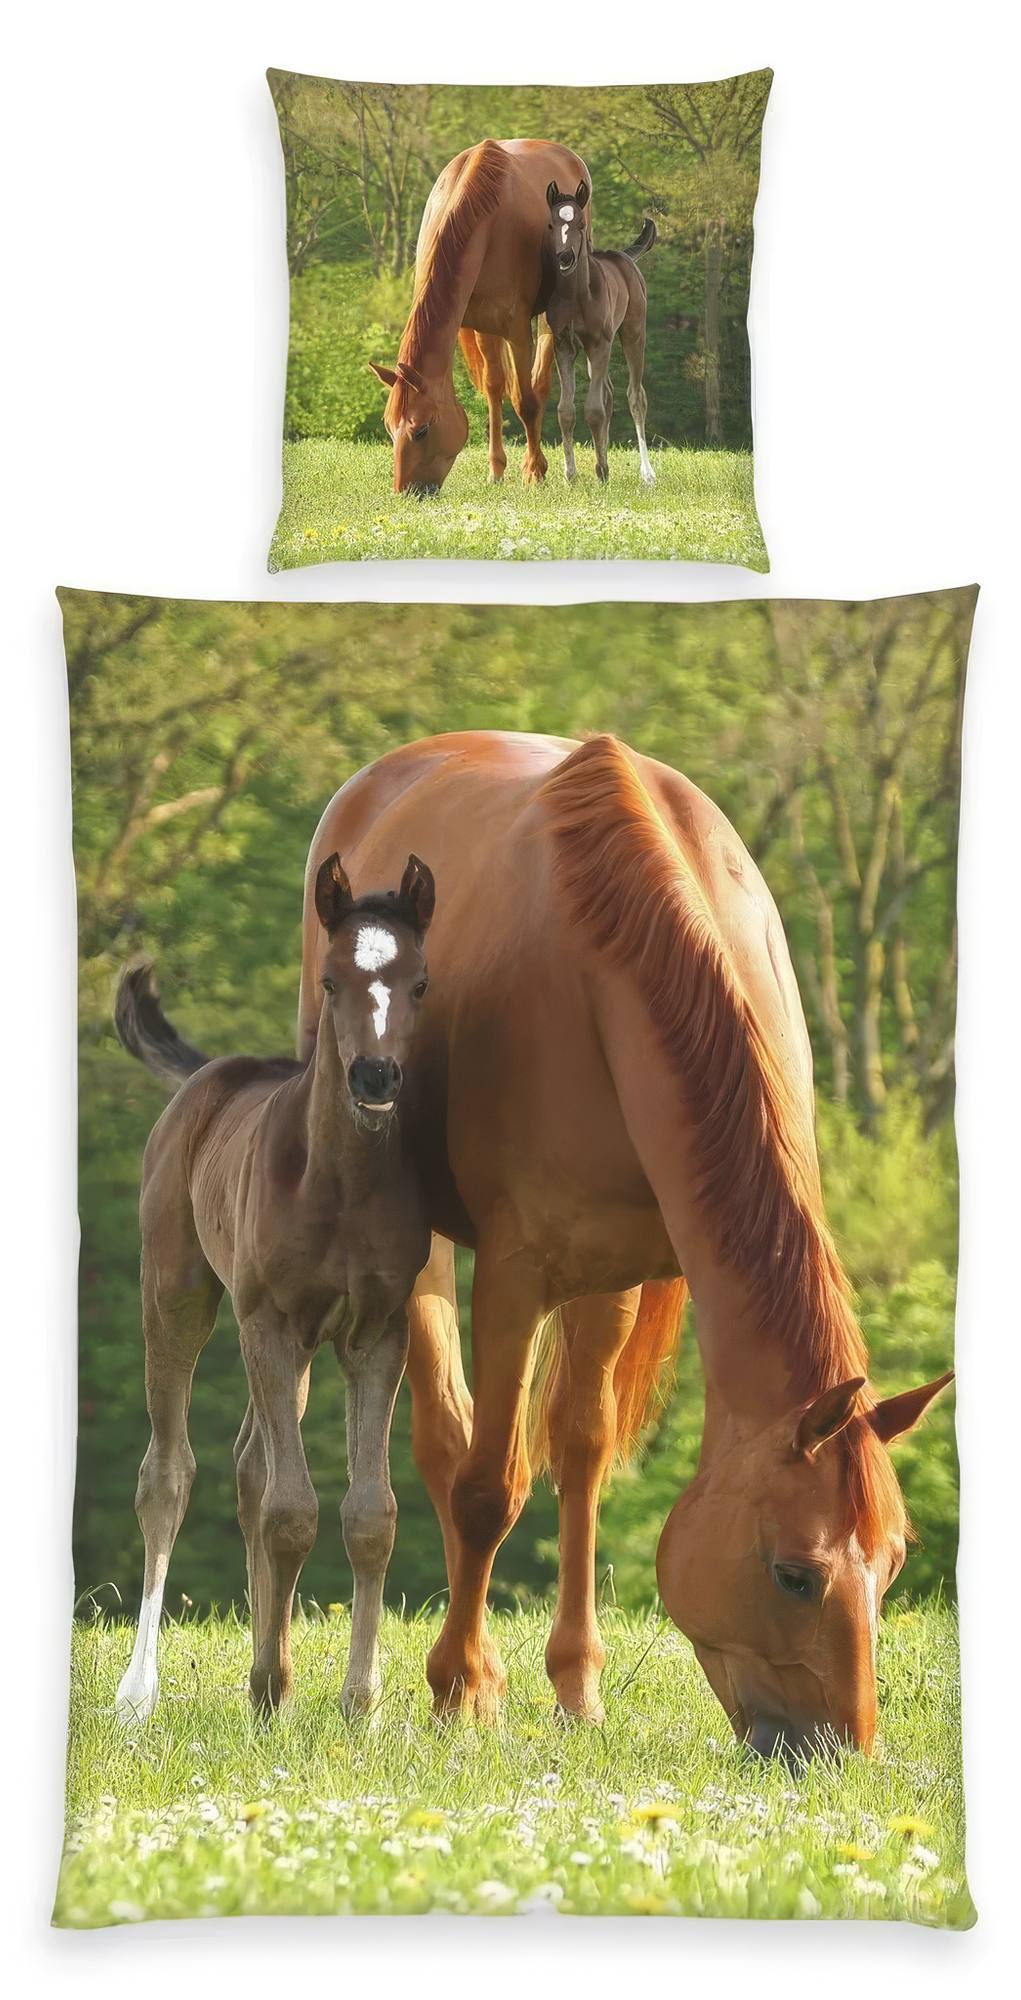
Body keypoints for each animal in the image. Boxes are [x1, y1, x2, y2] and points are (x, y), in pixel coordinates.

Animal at [113, 855, 435, 1724]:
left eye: (419, 982)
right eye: (328, 980)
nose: (375, 1076)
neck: (343, 1186)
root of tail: (210, 1075)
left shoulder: (376, 1333)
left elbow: (370, 1513)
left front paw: (358, 1703)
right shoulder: (270, 1323)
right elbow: (291, 1511)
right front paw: (274, 1691)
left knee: (250, 1464)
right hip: (177, 1293)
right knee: (170, 1471)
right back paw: (140, 1691)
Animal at [297, 732, 952, 1762]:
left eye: (888, 1568)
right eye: (793, 1574)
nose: (838, 1752)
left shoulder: (613, 1271)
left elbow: (584, 1454)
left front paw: (577, 1687)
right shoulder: (516, 1275)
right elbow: (489, 1487)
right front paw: (459, 1688)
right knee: (447, 1441)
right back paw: (471, 1674)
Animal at [369, 139, 592, 495]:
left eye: (422, 429)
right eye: (390, 429)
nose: (406, 491)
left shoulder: (516, 329)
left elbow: (526, 400)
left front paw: (534, 471)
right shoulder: (482, 324)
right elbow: (493, 388)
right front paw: (497, 469)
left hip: (549, 316)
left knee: (540, 383)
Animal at [545, 179, 657, 486]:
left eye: (581, 223)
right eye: (551, 224)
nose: (565, 257)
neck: (577, 295)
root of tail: (625, 257)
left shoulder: (599, 343)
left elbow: (594, 408)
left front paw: (597, 472)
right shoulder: (564, 345)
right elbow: (566, 409)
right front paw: (572, 474)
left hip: (634, 331)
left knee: (635, 396)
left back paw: (647, 474)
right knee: (608, 392)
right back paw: (604, 465)